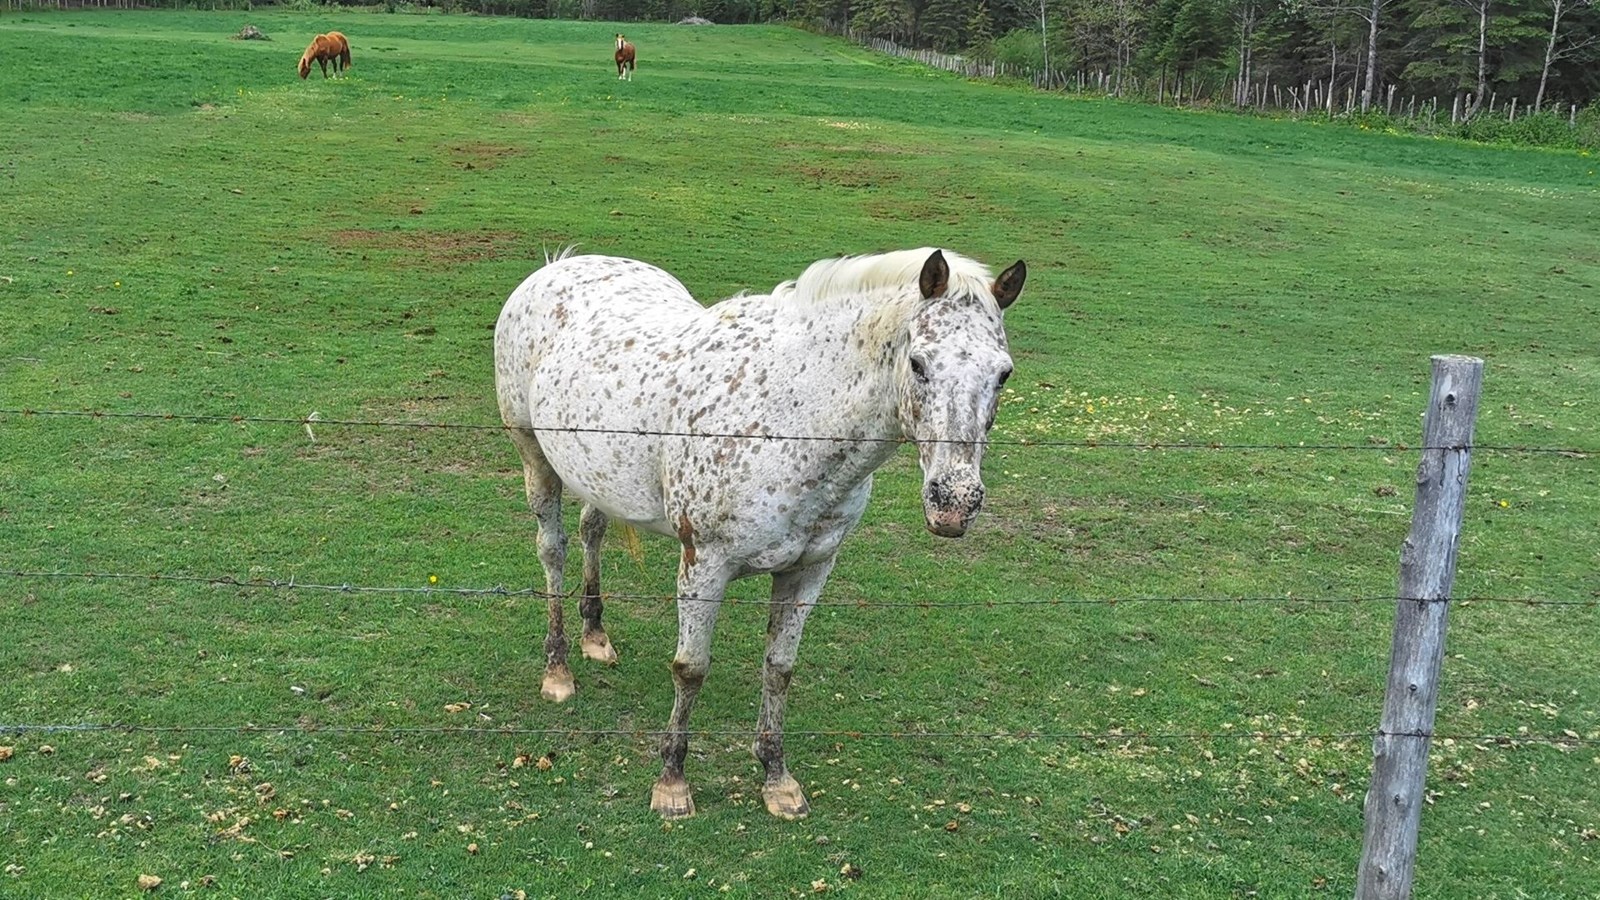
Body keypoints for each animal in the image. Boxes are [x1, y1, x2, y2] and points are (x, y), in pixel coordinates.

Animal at [494, 248, 1026, 820]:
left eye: (1003, 374)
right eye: (918, 363)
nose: (954, 502)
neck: (792, 419)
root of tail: (559, 264)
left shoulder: (810, 570)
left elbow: (779, 667)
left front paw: (777, 778)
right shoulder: (704, 565)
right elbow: (690, 669)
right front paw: (671, 783)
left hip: (597, 474)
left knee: (592, 531)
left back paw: (595, 637)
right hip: (534, 458)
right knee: (553, 551)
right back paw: (558, 671)